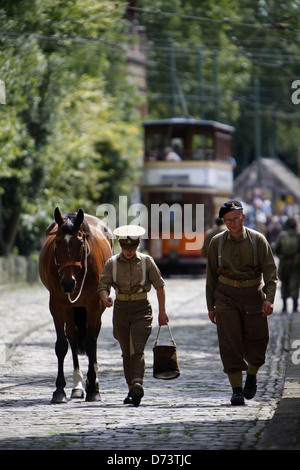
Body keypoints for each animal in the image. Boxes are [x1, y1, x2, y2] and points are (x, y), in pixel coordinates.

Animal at [37, 207, 112, 402]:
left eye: (80, 242)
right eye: (57, 242)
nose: (68, 283)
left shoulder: (94, 305)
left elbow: (91, 343)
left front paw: (93, 388)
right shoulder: (57, 305)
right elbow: (62, 345)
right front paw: (59, 390)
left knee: (92, 337)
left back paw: (93, 382)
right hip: (70, 308)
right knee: (71, 336)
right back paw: (77, 385)